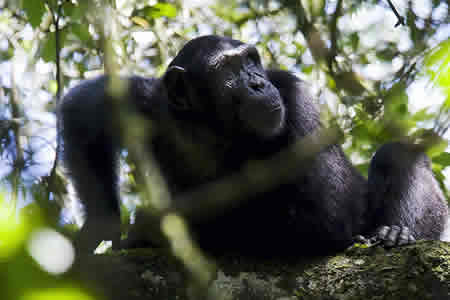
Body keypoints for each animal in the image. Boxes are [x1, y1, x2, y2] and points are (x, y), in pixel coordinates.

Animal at [58, 35, 448, 255]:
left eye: (250, 59)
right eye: (228, 68)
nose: (258, 82)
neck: (212, 127)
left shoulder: (296, 99)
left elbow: (325, 215)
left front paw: (153, 227)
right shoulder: (148, 102)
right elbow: (84, 109)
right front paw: (101, 226)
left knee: (397, 156)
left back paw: (394, 233)